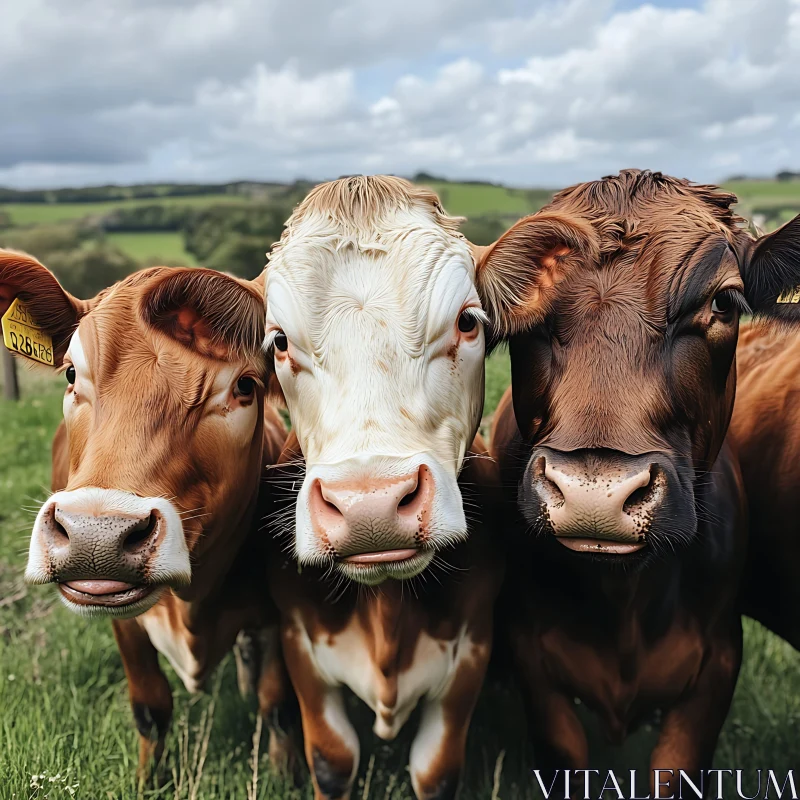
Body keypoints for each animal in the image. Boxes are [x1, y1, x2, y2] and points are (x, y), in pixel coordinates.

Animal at [2, 253, 294, 780]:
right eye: (71, 374)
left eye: (244, 386)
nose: (95, 535)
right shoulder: (123, 624)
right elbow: (150, 708)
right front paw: (148, 780)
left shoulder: (277, 613)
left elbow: (278, 705)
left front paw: (285, 776)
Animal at [262, 177, 592, 800]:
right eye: (279, 342)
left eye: (467, 322)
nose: (368, 504)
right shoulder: (299, 644)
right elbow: (332, 759)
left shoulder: (470, 651)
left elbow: (435, 770)